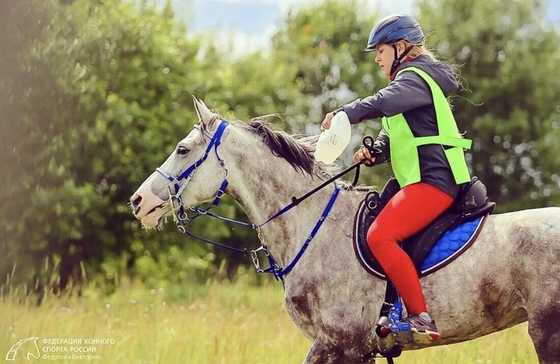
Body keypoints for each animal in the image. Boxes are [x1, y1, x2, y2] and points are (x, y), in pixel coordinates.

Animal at [130, 97, 560, 364]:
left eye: (182, 150)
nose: (139, 201)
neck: (311, 227)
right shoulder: (355, 350)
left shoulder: (339, 344)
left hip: (547, 332)